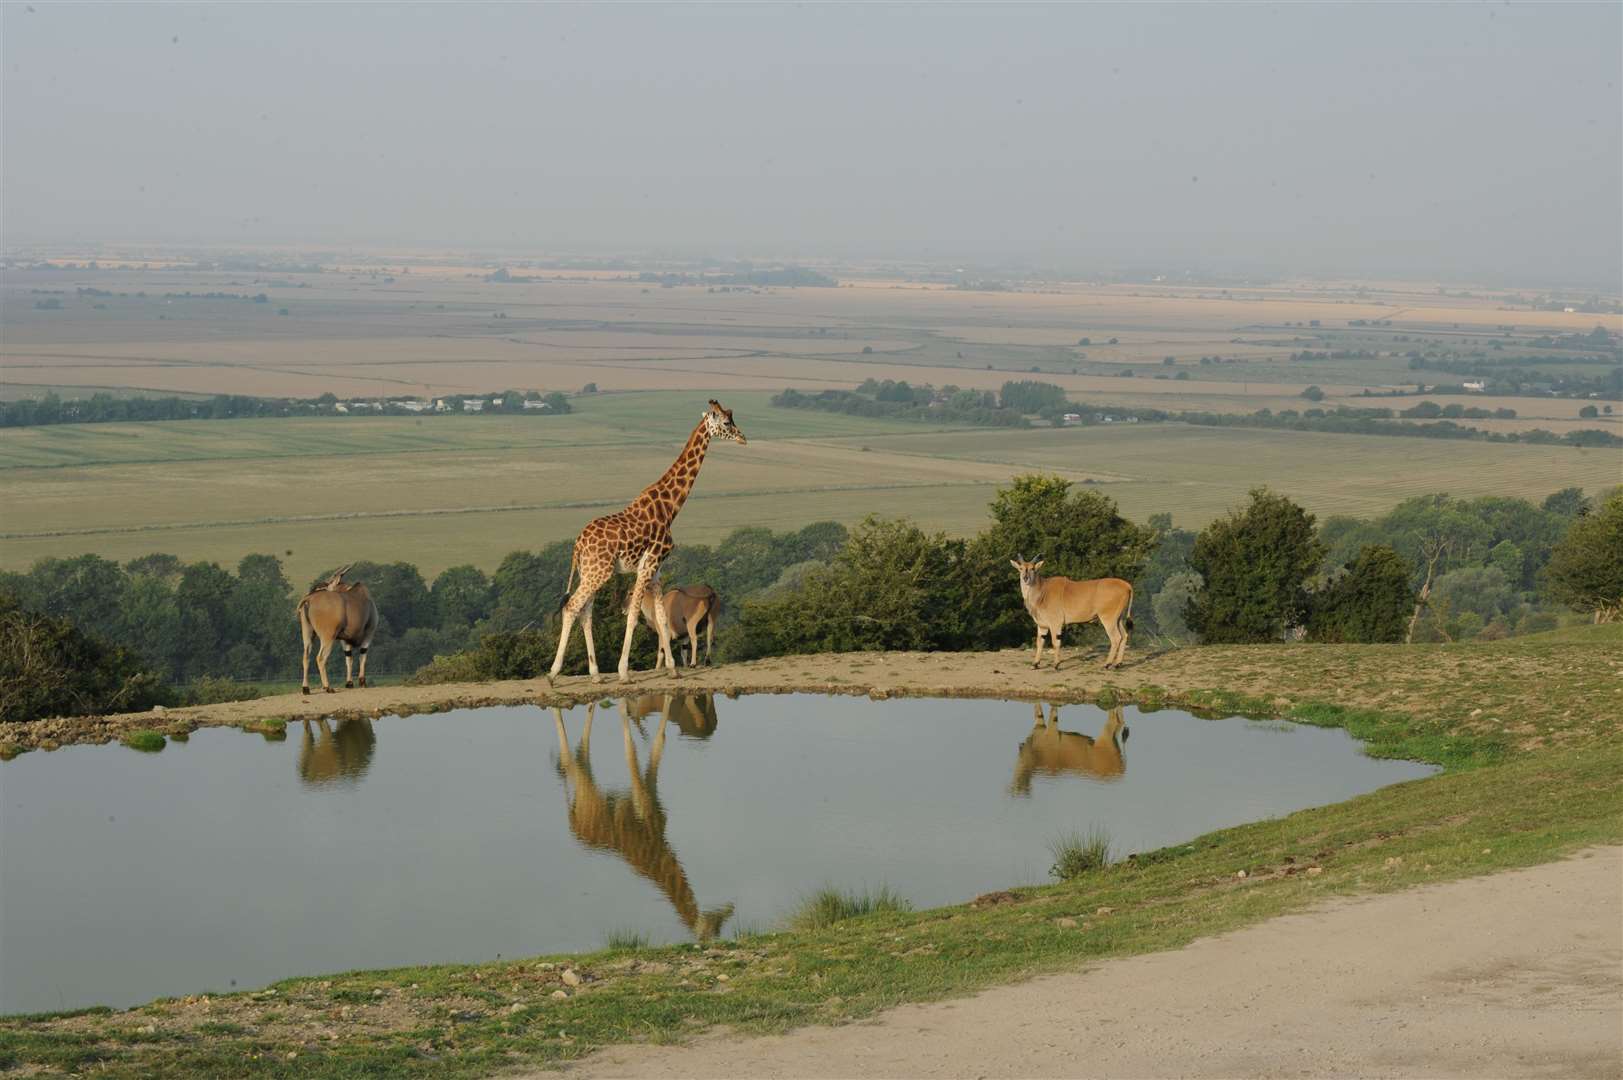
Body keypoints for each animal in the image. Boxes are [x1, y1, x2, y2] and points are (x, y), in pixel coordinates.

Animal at [548, 396, 743, 682]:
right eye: (727, 422)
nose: (743, 438)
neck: (669, 508)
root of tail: (577, 545)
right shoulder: (647, 566)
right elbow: (633, 617)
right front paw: (624, 672)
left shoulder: (657, 569)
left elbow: (662, 617)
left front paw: (673, 669)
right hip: (599, 572)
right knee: (572, 606)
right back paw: (553, 674)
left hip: (589, 572)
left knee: (586, 613)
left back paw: (595, 674)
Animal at [558, 704, 736, 941]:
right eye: (715, 928)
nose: (728, 910)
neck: (658, 844)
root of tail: (574, 825)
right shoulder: (638, 799)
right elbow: (631, 747)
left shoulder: (651, 795)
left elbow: (659, 741)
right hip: (590, 798)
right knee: (571, 760)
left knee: (582, 754)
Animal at [1006, 555, 1136, 665]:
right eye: (1021, 568)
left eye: (1033, 569)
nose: (1025, 578)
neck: (1042, 591)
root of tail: (1127, 585)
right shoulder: (1042, 625)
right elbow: (1040, 643)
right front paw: (1035, 664)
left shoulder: (1056, 623)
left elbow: (1055, 642)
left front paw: (1056, 664)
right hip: (1118, 619)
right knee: (1124, 636)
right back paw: (1118, 663)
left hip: (1108, 619)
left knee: (1116, 638)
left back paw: (1108, 664)